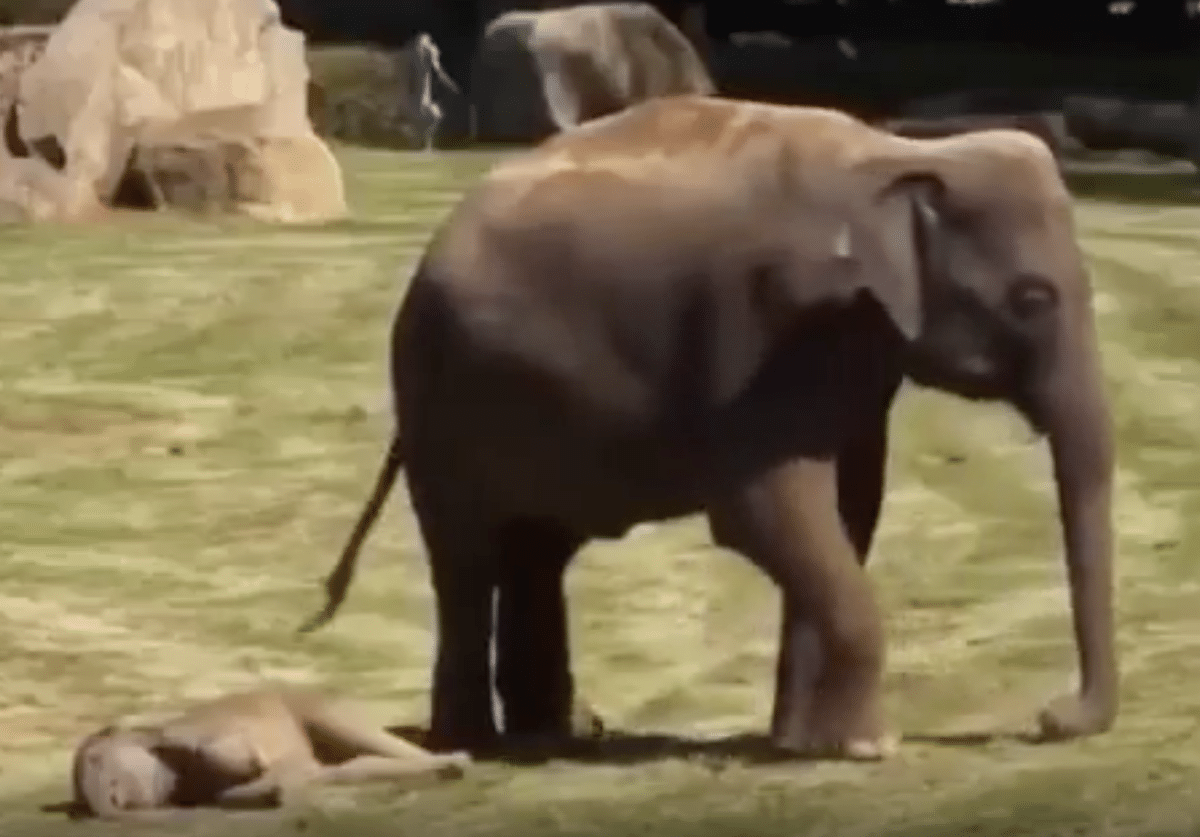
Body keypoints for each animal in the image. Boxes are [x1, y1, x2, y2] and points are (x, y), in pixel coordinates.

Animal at [302, 94, 1118, 760]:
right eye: (1034, 298)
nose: (1051, 717)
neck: (899, 155)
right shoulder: (766, 327)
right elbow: (768, 511)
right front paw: (866, 747)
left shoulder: (847, 345)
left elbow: (848, 508)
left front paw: (801, 744)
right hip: (440, 402)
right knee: (466, 558)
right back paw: (474, 744)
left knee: (535, 552)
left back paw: (549, 736)